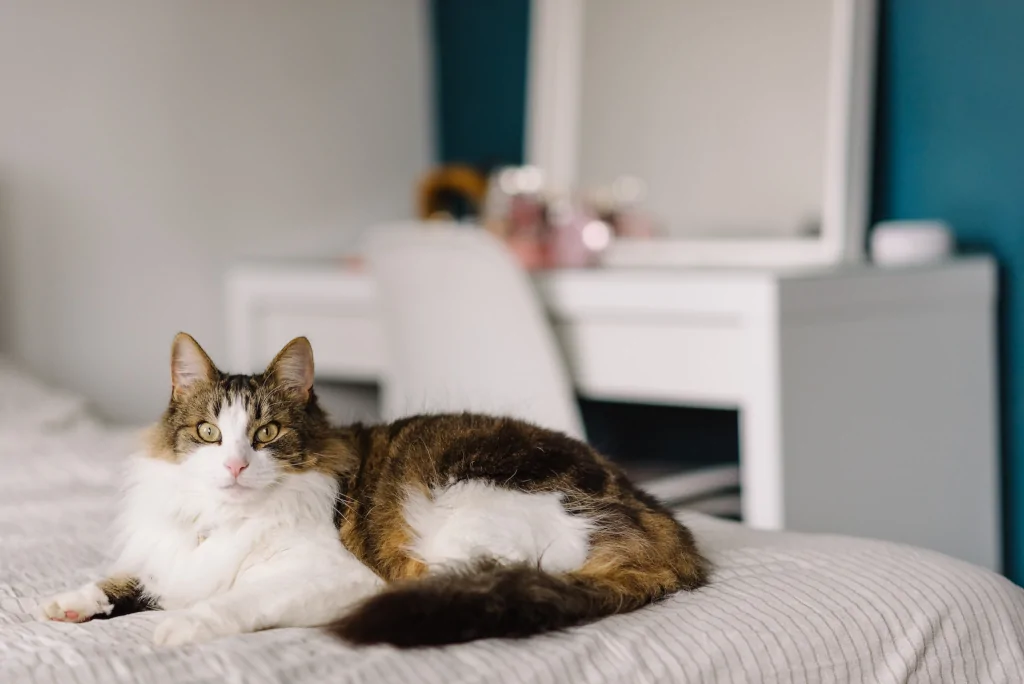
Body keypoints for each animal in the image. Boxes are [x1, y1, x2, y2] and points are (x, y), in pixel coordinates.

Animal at [41, 333, 712, 651]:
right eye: (209, 432)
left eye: (265, 433)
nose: (233, 466)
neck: (224, 519)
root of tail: (672, 533)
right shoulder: (172, 558)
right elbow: (124, 580)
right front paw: (69, 603)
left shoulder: (336, 575)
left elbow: (236, 600)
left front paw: (182, 627)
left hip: (462, 511)